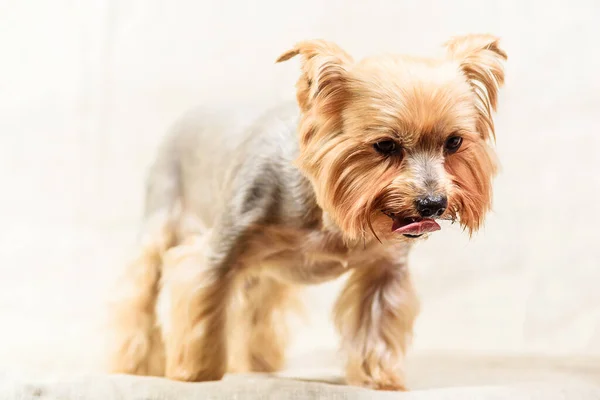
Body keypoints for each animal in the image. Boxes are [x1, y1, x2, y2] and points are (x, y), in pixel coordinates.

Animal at [109, 34, 506, 390]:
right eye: (385, 145)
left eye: (454, 142)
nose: (432, 203)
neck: (328, 211)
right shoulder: (220, 251)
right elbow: (205, 305)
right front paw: (196, 373)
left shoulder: (384, 269)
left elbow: (375, 324)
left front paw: (378, 378)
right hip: (161, 215)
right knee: (141, 292)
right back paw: (135, 364)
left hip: (265, 271)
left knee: (258, 306)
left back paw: (257, 361)